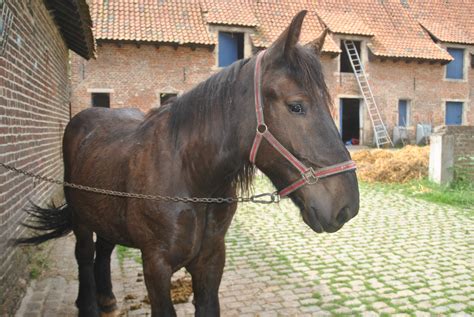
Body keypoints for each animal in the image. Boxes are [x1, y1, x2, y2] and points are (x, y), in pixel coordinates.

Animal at [17, 11, 360, 316]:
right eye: (296, 106)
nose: (347, 206)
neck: (191, 177)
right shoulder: (155, 265)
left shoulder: (211, 262)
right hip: (81, 219)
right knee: (85, 257)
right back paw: (88, 305)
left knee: (103, 252)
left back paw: (108, 300)